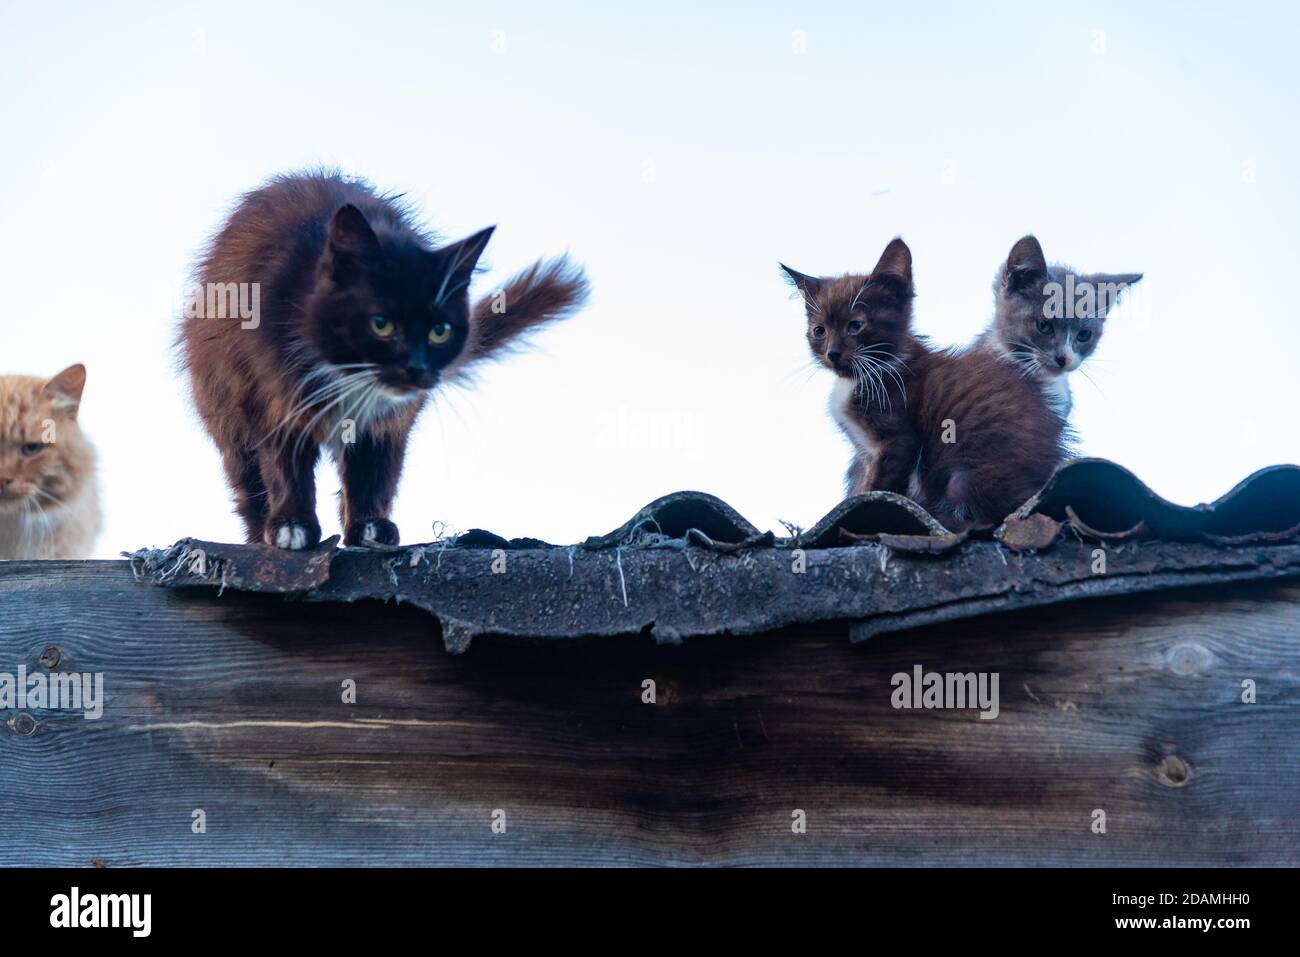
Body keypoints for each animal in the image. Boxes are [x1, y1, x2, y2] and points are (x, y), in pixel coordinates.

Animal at [180, 167, 587, 548]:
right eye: (381, 323)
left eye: (440, 330)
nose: (417, 368)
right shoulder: (266, 389)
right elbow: (283, 462)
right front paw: (291, 526)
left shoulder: (392, 417)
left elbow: (376, 467)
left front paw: (370, 526)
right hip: (221, 399)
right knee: (245, 473)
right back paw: (260, 531)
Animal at [780, 236, 1066, 527]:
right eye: (819, 331)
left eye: (855, 325)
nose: (833, 354)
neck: (872, 370)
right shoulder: (867, 452)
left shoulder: (898, 438)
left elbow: (878, 485)